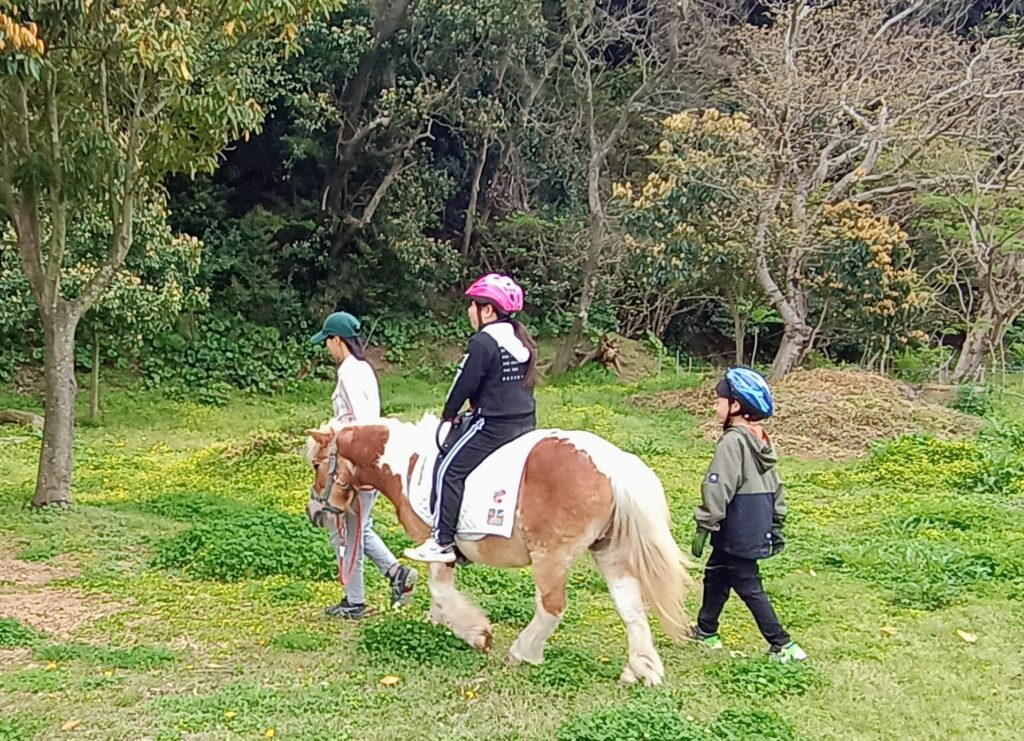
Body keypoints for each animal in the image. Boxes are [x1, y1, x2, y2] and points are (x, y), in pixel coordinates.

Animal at [304, 413, 692, 686]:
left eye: (316, 465)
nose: (314, 513)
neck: (409, 464)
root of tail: (613, 466)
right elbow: (438, 595)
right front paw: (442, 622)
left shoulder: (438, 546)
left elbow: (440, 590)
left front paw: (476, 633)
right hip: (610, 553)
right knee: (631, 607)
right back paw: (641, 670)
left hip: (551, 558)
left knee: (552, 606)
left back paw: (524, 652)